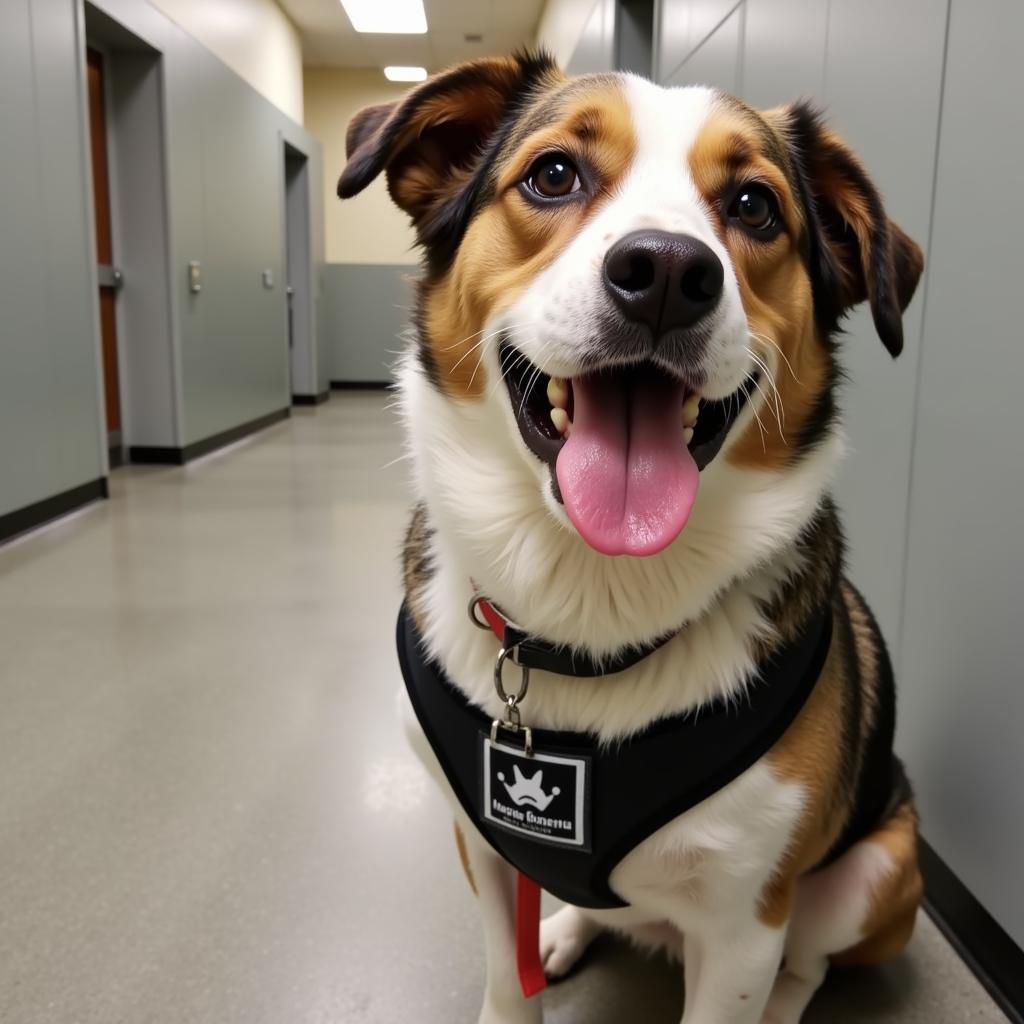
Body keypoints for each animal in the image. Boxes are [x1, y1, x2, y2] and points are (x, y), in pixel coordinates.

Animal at [339, 49, 925, 1024]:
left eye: (754, 205)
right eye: (553, 175)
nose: (666, 273)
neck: (588, 605)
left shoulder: (743, 925)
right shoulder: (482, 845)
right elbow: (506, 982)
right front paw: (528, 970)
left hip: (881, 871)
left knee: (808, 964)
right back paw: (564, 933)